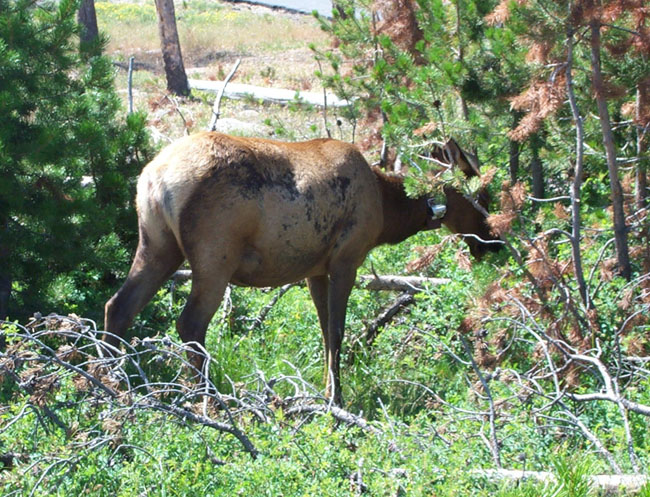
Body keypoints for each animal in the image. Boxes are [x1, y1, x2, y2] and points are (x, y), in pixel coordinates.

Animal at [104, 132, 499, 405]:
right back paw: (211, 399)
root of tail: (153, 178)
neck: (388, 212)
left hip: (157, 245)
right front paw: (337, 400)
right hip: (214, 255)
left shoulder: (315, 269)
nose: (493, 242)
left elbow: (324, 333)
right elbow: (338, 333)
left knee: (118, 306)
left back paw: (112, 384)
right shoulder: (346, 258)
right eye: (482, 194)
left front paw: (327, 392)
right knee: (189, 323)